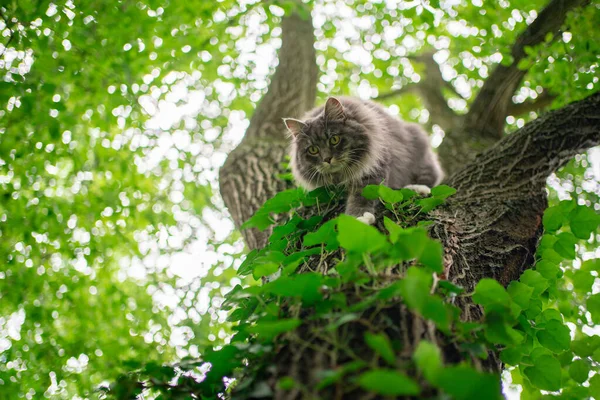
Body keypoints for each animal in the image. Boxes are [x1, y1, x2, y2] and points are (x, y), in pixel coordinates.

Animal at [284, 95, 442, 223]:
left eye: (334, 139)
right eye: (313, 150)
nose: (327, 159)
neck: (340, 176)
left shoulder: (373, 170)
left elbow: (362, 196)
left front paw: (359, 218)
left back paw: (417, 188)